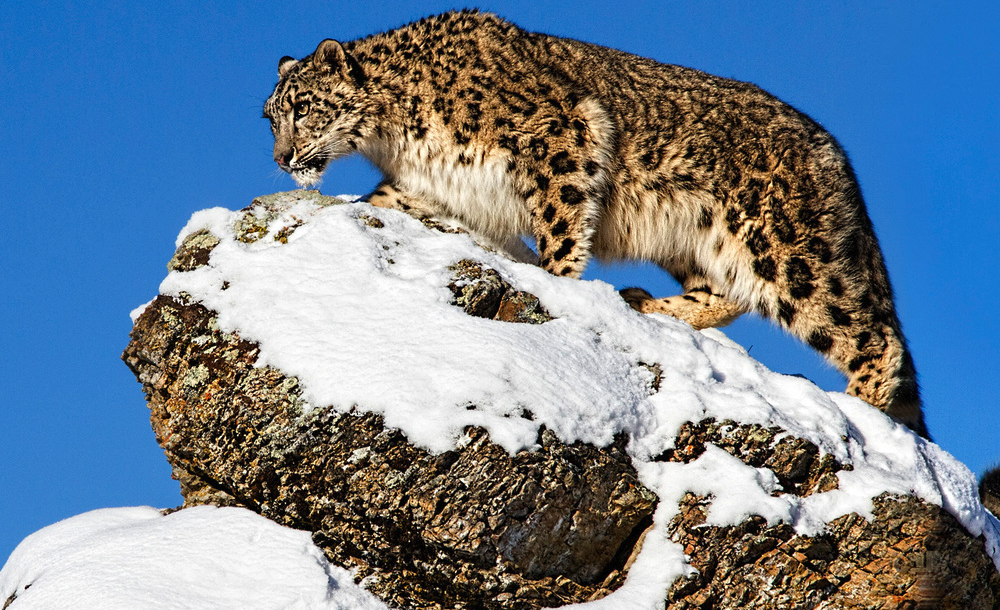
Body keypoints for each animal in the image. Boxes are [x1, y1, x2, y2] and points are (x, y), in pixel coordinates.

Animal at [262, 9, 924, 436]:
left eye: (303, 108)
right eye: (270, 116)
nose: (282, 158)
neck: (395, 138)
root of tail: (835, 155)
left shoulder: (559, 132)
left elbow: (560, 222)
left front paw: (556, 282)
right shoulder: (430, 188)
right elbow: (382, 203)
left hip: (788, 250)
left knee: (870, 334)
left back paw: (862, 412)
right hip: (697, 242)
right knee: (726, 292)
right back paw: (650, 305)